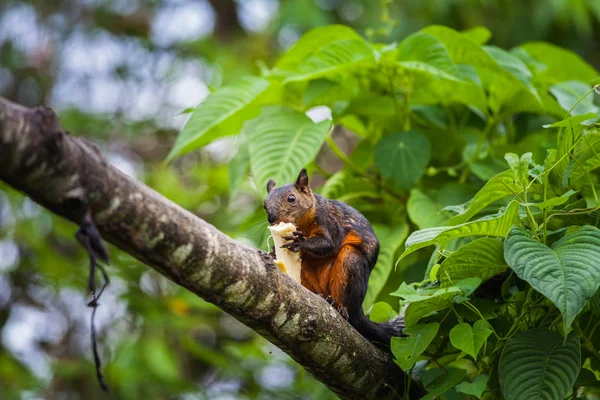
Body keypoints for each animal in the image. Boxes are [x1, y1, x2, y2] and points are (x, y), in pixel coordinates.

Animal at [262, 167, 404, 346]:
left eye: (291, 198)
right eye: (264, 204)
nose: (272, 218)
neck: (303, 223)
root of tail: (359, 312)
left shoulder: (328, 220)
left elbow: (329, 243)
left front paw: (299, 242)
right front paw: (273, 252)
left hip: (351, 264)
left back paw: (339, 307)